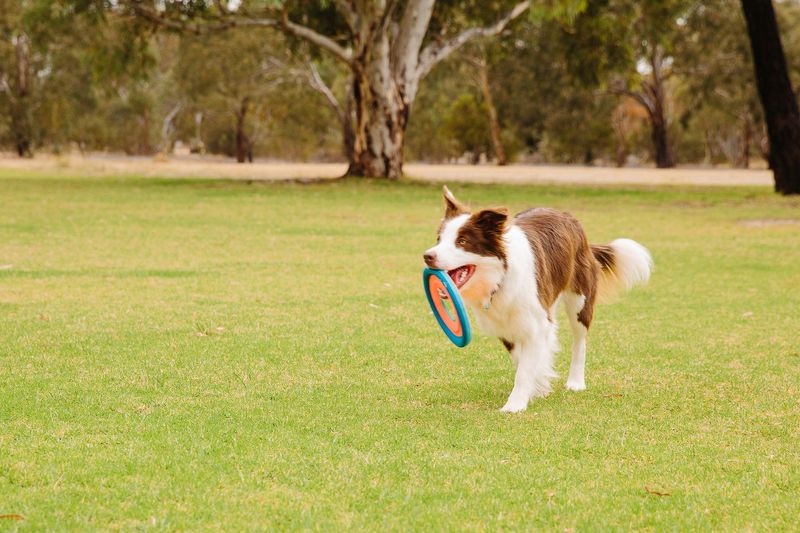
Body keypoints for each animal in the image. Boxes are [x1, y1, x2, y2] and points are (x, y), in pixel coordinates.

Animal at [422, 186, 652, 412]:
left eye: (462, 241)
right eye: (439, 239)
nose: (427, 256)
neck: (500, 279)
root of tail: (568, 217)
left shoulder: (536, 322)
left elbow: (525, 368)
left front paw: (515, 405)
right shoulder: (505, 326)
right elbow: (522, 360)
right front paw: (539, 385)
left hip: (580, 301)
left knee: (580, 341)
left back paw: (576, 382)